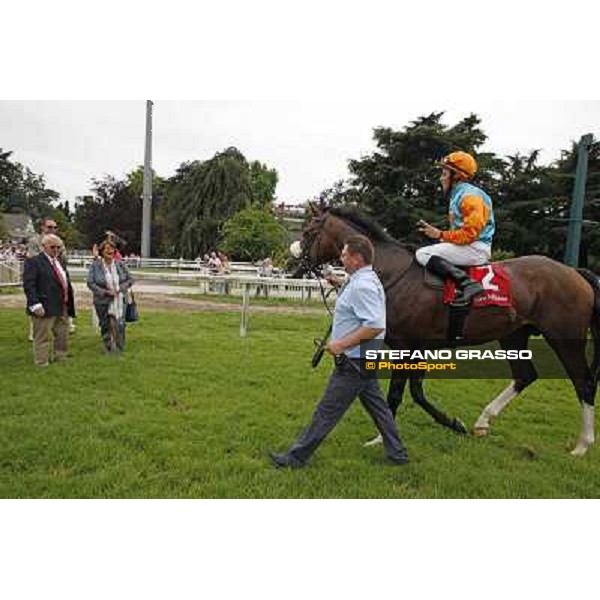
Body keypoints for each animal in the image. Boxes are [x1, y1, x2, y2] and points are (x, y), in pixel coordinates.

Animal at [292, 205, 600, 454]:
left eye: (308, 230)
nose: (293, 256)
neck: (392, 274)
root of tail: (575, 271)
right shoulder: (419, 348)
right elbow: (417, 392)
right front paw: (454, 423)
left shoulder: (406, 347)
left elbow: (397, 394)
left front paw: (381, 438)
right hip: (513, 335)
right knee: (525, 375)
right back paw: (483, 421)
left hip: (565, 338)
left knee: (583, 382)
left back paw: (582, 445)